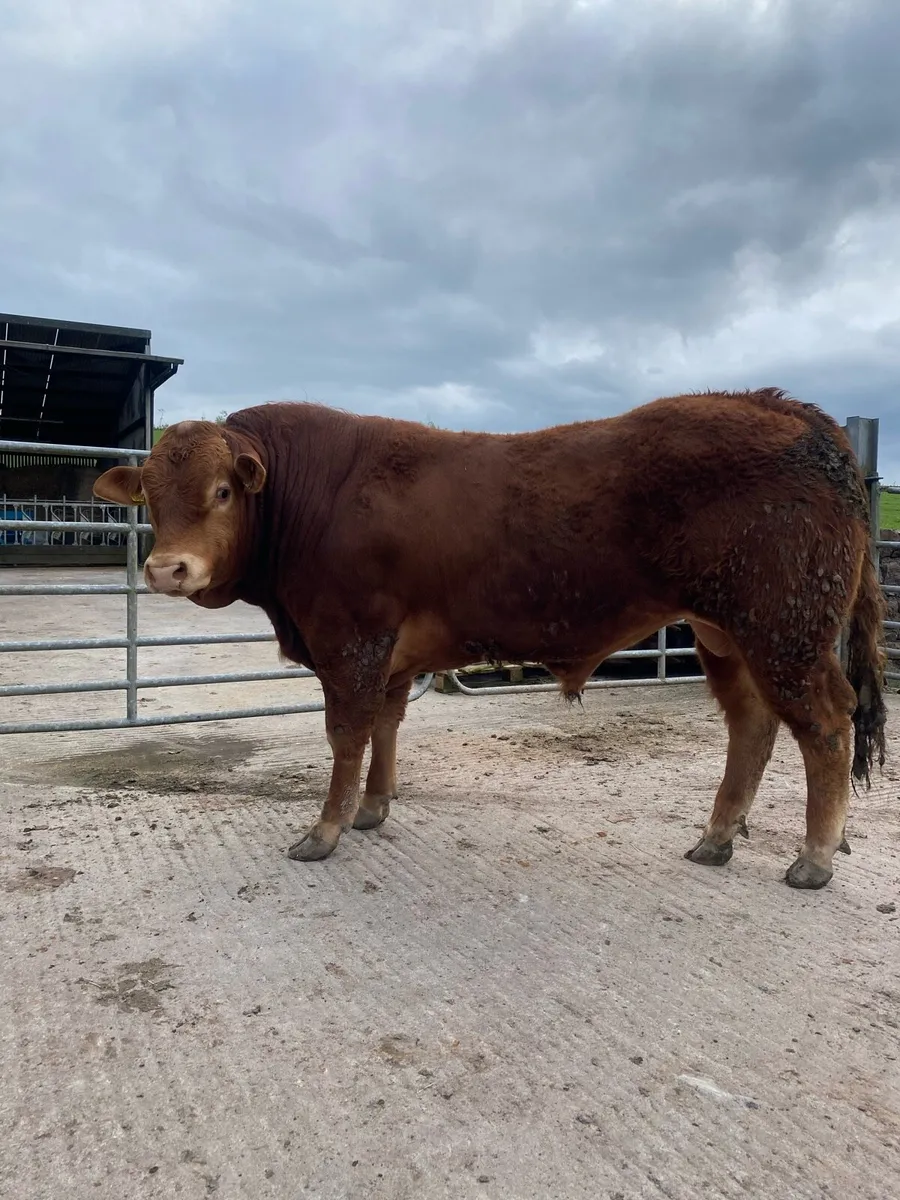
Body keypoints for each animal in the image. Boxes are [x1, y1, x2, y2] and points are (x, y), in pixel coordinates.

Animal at [93, 388, 887, 890]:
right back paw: (717, 838)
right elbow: (386, 725)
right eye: (151, 496)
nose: (165, 569)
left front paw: (325, 831)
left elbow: (346, 734)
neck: (314, 495)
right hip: (727, 635)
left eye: (223, 490)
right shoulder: (390, 653)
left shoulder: (348, 640)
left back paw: (815, 857)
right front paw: (374, 809)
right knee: (751, 725)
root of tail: (785, 407)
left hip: (786, 631)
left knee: (826, 724)